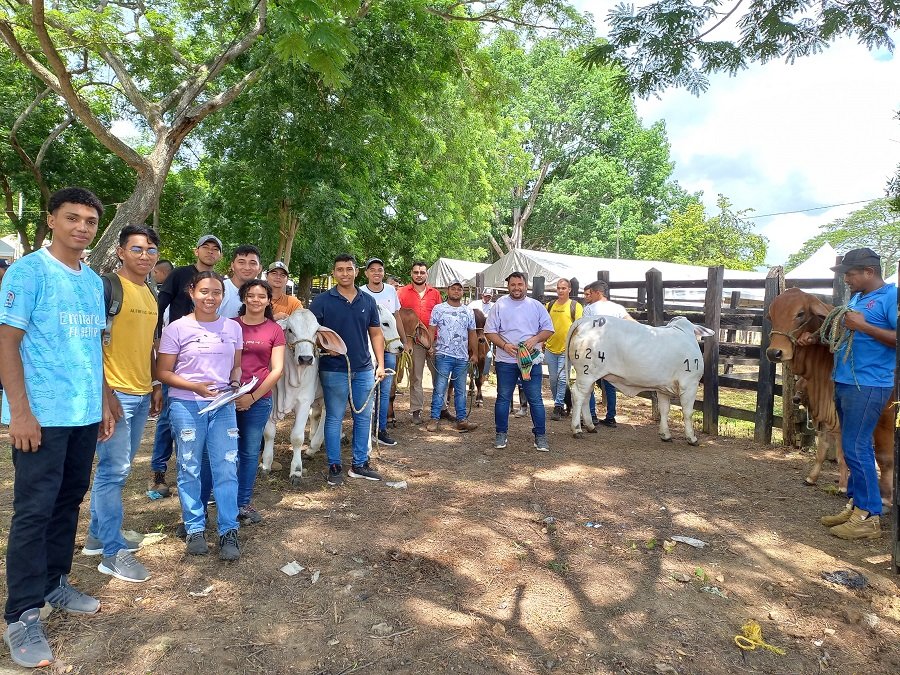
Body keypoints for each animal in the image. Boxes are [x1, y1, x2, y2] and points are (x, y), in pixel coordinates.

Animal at [566, 316, 712, 445]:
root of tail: (585, 320)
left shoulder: (663, 389)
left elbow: (664, 410)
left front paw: (665, 435)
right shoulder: (690, 384)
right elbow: (688, 412)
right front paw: (692, 438)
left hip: (589, 376)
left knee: (586, 397)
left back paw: (590, 426)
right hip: (587, 373)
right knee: (578, 395)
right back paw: (577, 429)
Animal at [765, 287, 894, 504]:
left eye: (800, 313)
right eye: (771, 315)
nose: (774, 352)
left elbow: (854, 456)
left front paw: (845, 487)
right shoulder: (826, 420)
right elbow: (822, 450)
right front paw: (812, 478)